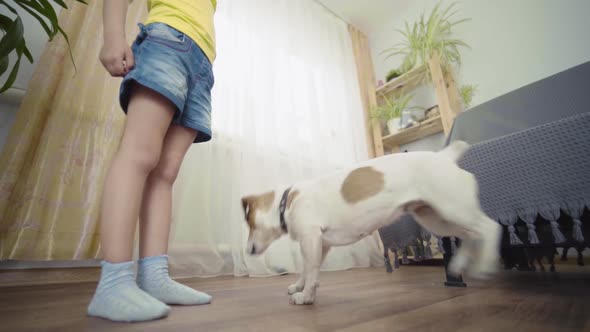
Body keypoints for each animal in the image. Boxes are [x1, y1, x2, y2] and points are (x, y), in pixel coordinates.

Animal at [243, 141, 502, 304]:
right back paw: (460, 264)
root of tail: (444, 157)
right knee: (470, 235)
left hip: (453, 209)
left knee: (490, 228)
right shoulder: (320, 245)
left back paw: (486, 265)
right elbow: (307, 269)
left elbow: (312, 271)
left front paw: (305, 296)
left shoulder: (311, 239)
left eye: (251, 225)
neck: (287, 201)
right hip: (437, 218)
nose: (248, 250)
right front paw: (299, 286)